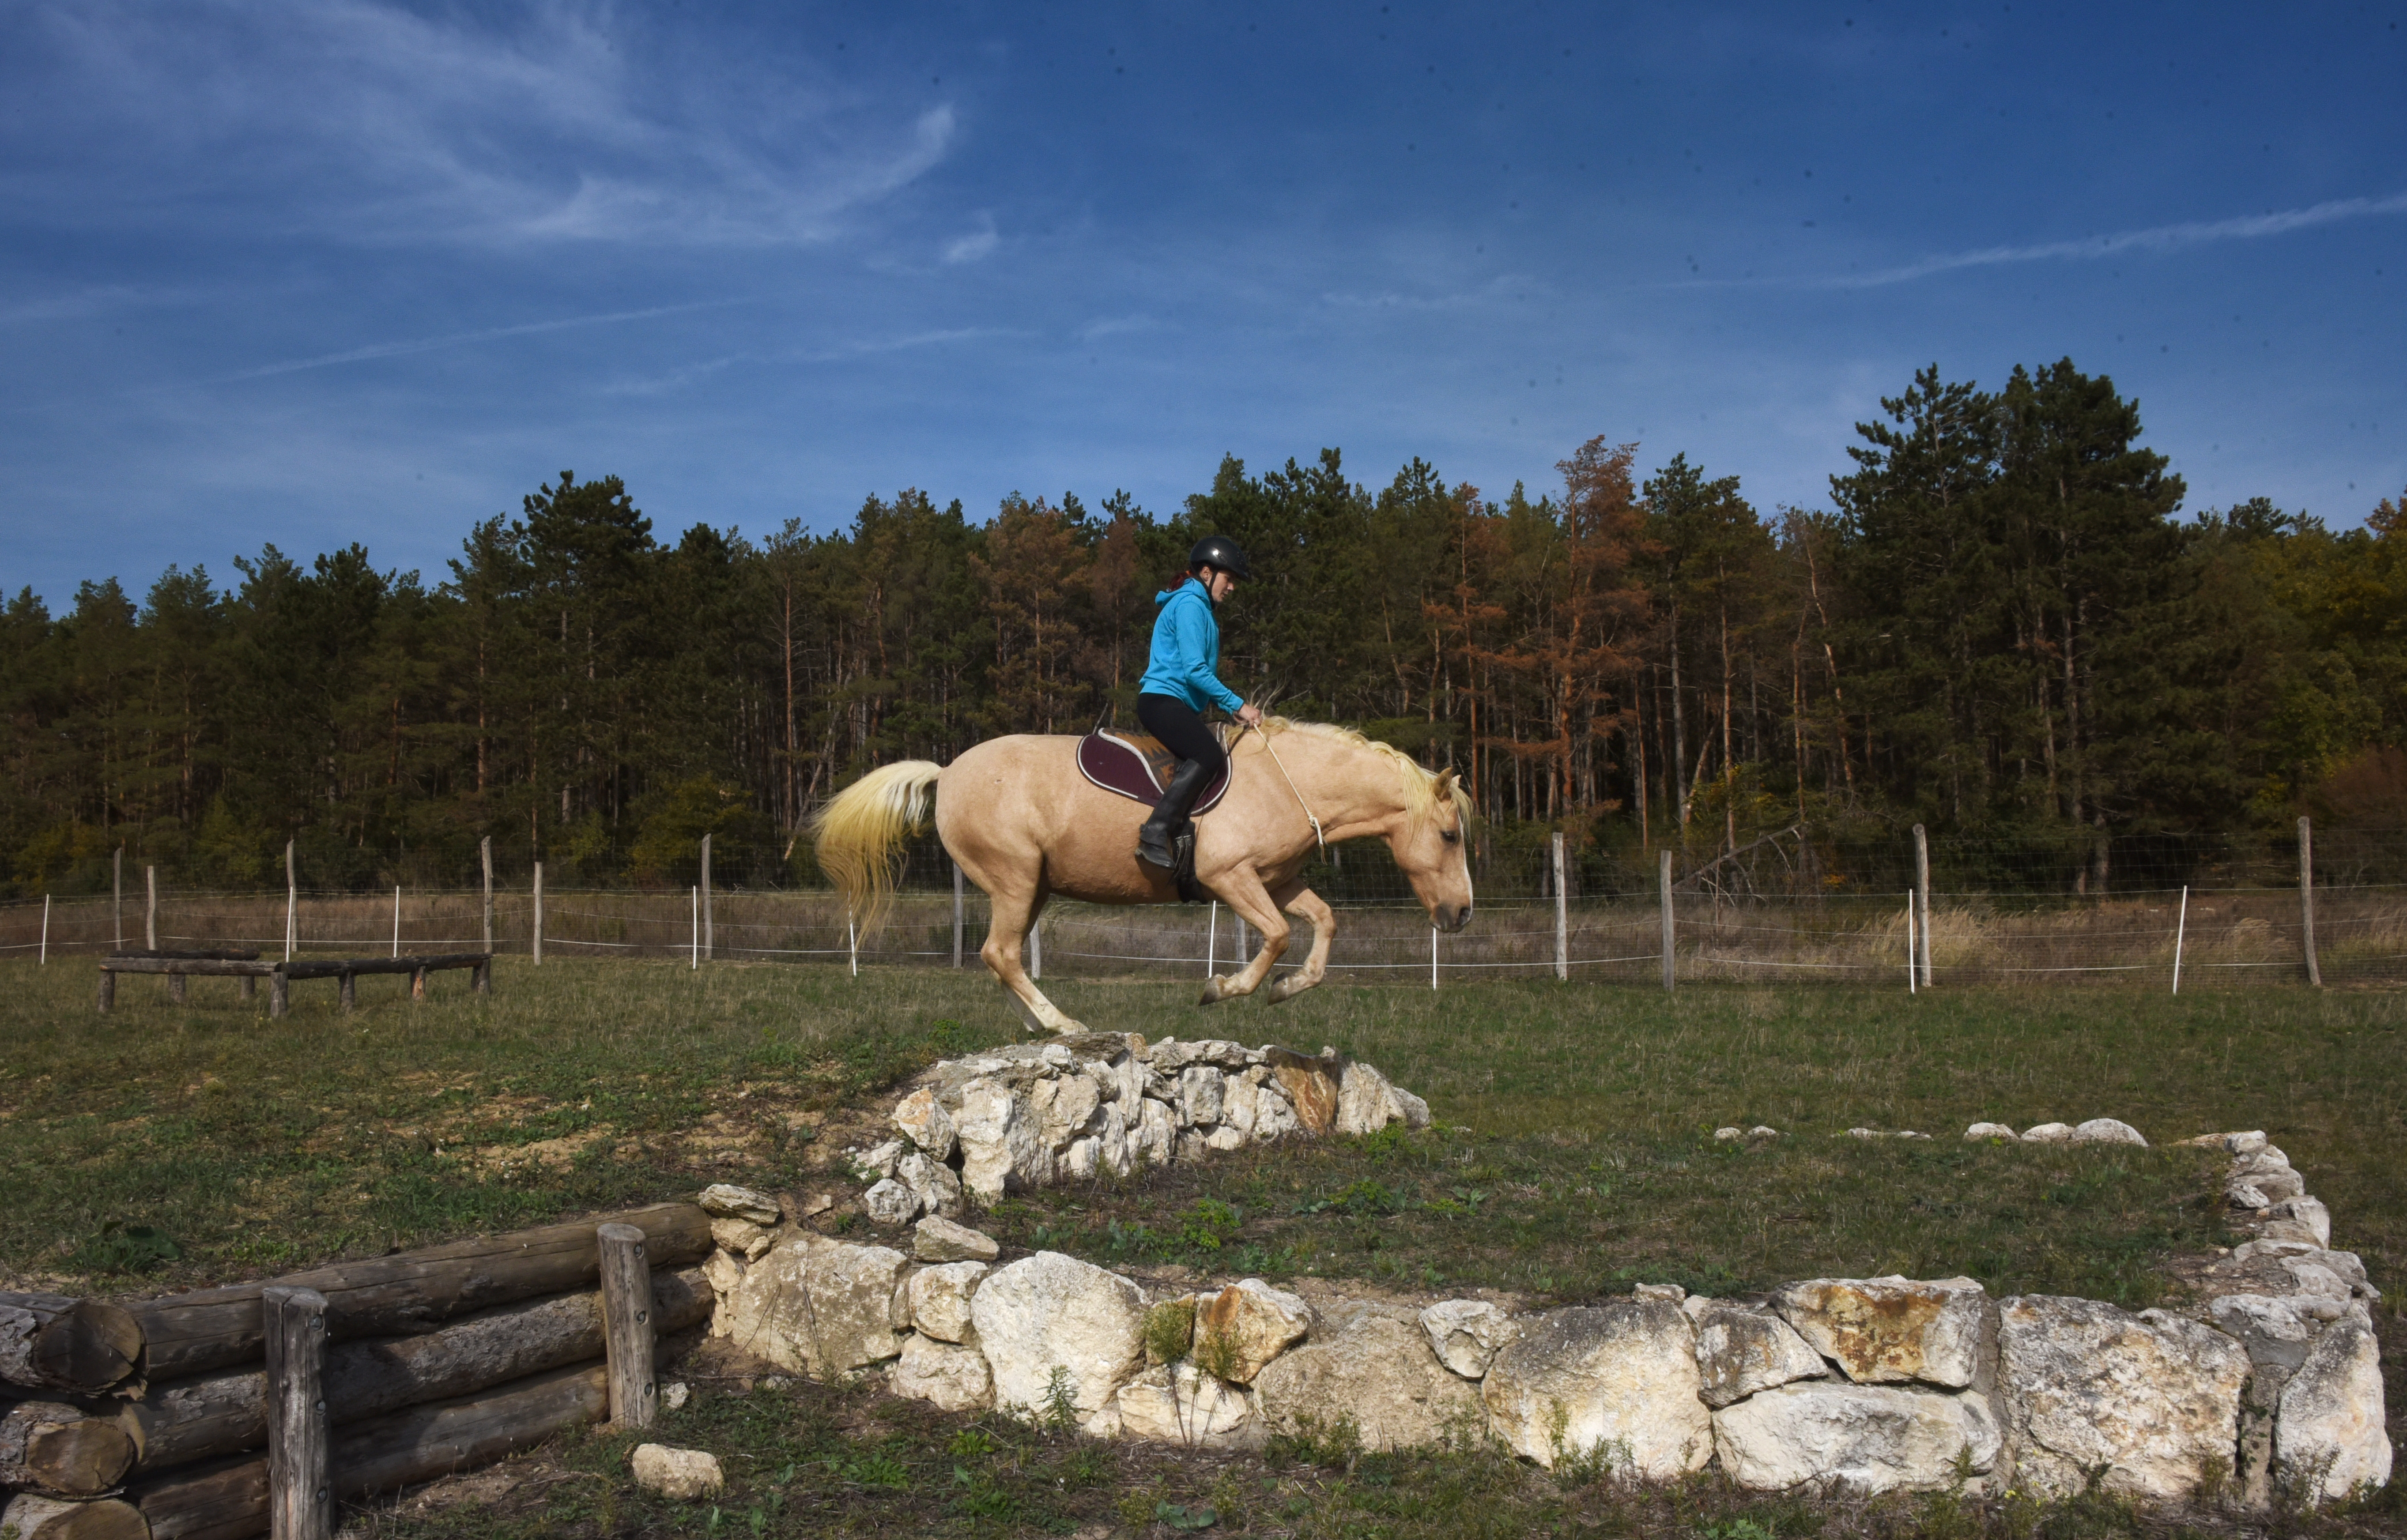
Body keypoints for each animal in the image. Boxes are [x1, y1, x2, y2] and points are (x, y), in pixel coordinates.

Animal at [810, 719, 1475, 1034]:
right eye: (1450, 837)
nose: (1463, 913)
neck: (1290, 784)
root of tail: (947, 772)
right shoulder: (1230, 877)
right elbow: (1278, 936)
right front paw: (1223, 989)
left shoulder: (1277, 881)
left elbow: (1324, 924)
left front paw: (1286, 989)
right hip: (1015, 879)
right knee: (1001, 953)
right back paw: (1061, 1022)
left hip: (1032, 887)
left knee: (1000, 957)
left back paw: (1038, 1024)